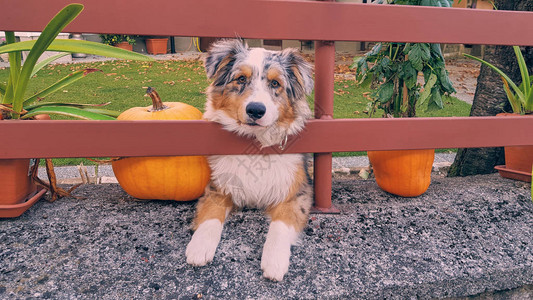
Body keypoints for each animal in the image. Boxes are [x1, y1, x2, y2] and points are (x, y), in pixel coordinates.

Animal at [186, 39, 314, 282]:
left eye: (275, 83)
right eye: (241, 79)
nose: (255, 110)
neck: (255, 144)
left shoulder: (296, 192)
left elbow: (280, 225)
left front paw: (274, 261)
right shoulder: (218, 187)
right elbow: (210, 214)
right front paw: (199, 247)